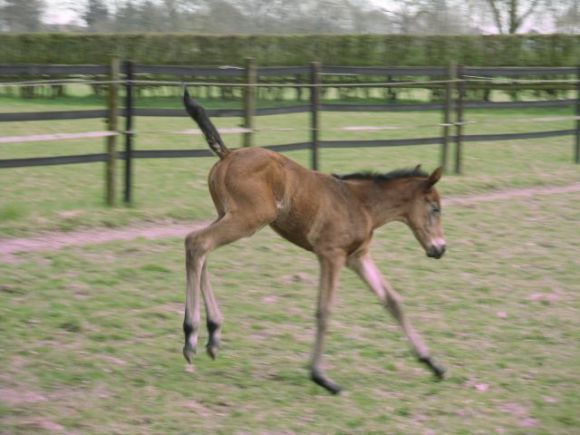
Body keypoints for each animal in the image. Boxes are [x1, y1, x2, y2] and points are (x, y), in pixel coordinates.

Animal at [184, 90, 446, 396]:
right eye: (435, 208)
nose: (440, 248)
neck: (362, 204)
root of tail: (228, 153)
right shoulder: (331, 255)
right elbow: (325, 310)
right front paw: (321, 376)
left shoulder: (358, 256)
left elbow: (393, 301)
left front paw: (432, 363)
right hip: (247, 219)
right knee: (197, 243)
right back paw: (191, 336)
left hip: (226, 214)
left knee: (200, 249)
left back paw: (213, 334)